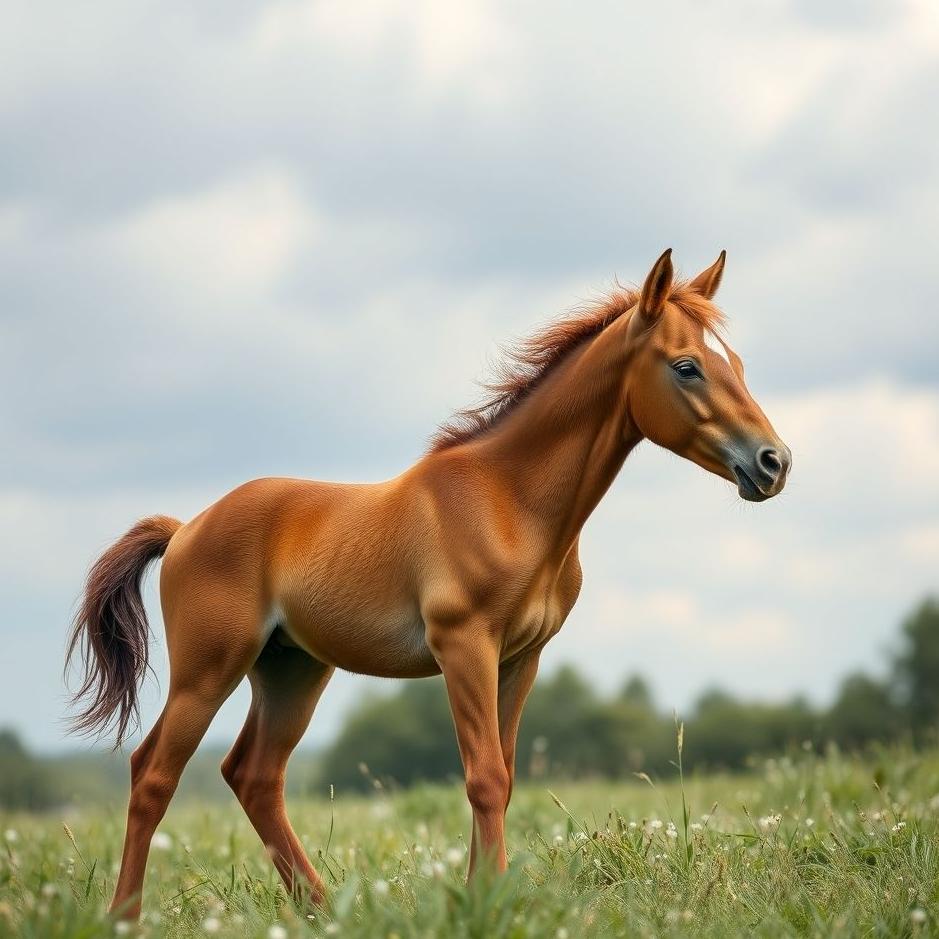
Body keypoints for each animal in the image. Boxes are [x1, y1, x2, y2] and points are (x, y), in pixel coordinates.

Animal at [66, 249, 790, 919]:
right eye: (686, 365)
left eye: (737, 361)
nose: (772, 462)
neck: (509, 500)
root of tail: (185, 528)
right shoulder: (463, 645)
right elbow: (484, 777)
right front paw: (487, 901)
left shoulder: (521, 657)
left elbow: (502, 775)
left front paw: (480, 894)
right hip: (208, 668)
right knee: (153, 773)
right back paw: (127, 915)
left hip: (291, 668)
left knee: (253, 774)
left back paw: (324, 909)